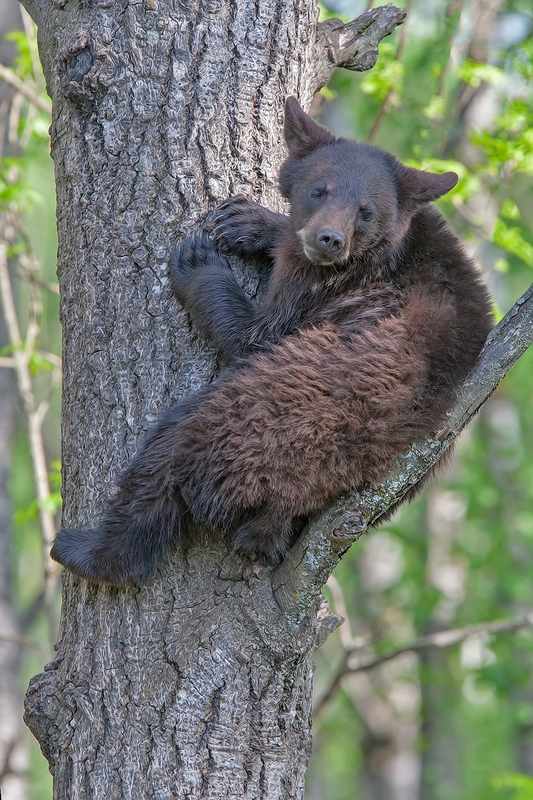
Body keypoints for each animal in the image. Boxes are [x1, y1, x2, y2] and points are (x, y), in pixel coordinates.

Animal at [52, 97, 492, 584]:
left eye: (366, 211)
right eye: (320, 189)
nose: (329, 240)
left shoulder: (323, 289)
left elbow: (255, 334)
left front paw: (202, 258)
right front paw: (248, 220)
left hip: (250, 422)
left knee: (166, 459)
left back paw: (90, 550)